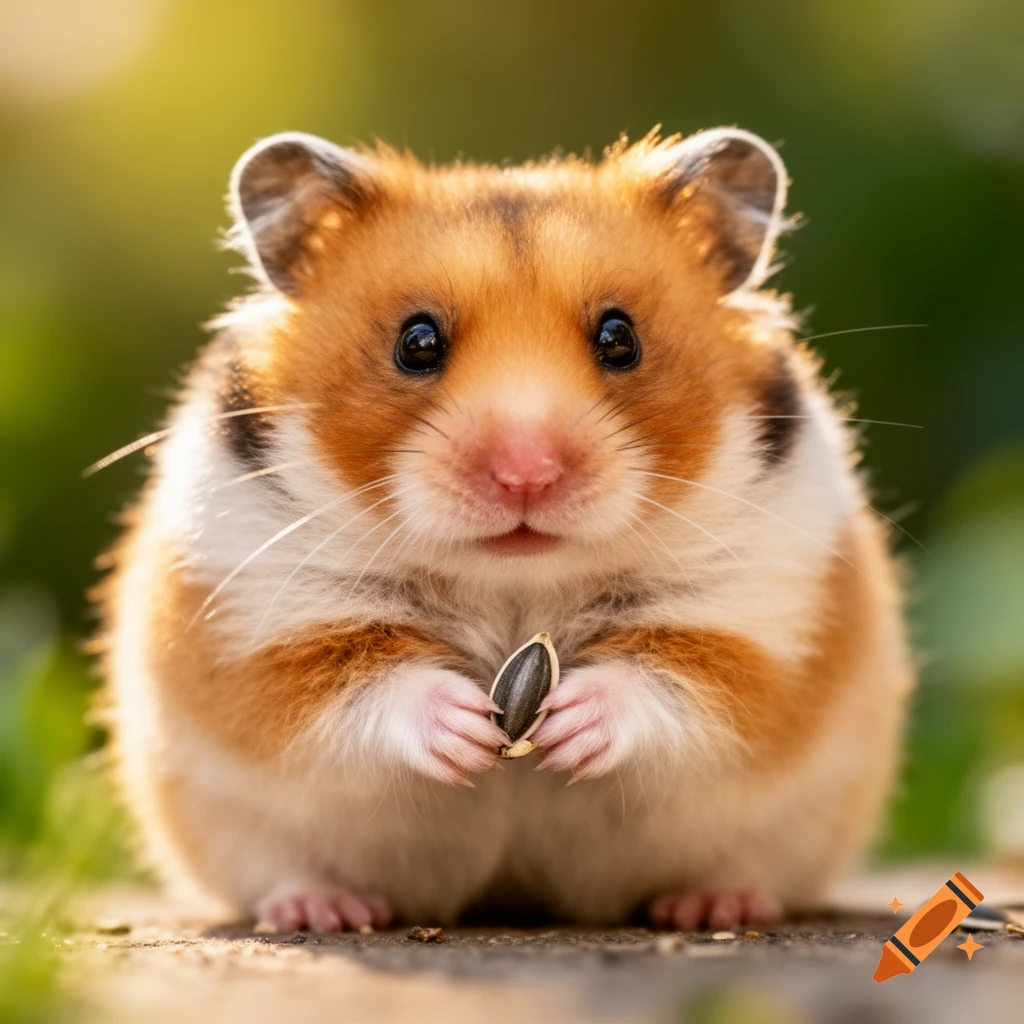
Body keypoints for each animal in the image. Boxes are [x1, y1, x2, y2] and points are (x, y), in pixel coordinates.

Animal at [97, 127, 913, 933]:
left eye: (620, 337)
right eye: (416, 342)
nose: (526, 474)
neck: (516, 581)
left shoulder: (763, 615)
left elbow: (689, 674)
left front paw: (566, 726)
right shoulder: (259, 624)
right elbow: (348, 679)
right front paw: (470, 730)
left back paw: (714, 904)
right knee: (285, 869)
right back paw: (322, 910)